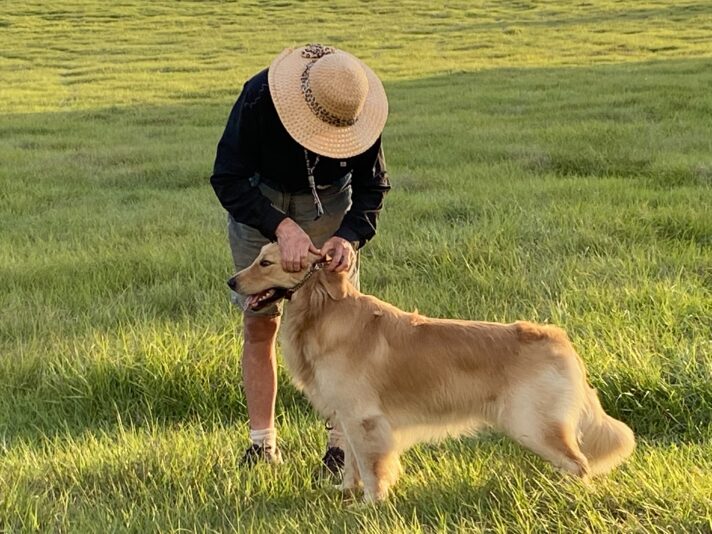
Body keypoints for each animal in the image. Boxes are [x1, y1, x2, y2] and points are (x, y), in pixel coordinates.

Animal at [231, 245, 636, 504]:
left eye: (266, 262)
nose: (231, 281)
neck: (322, 311)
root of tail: (558, 339)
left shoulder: (364, 418)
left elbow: (371, 465)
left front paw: (371, 503)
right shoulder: (346, 416)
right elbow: (352, 465)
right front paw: (345, 493)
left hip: (532, 425)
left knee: (579, 463)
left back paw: (567, 495)